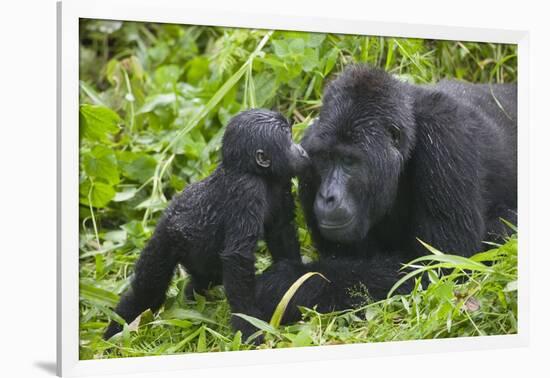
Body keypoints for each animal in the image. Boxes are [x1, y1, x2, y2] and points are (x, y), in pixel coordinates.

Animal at [104, 108, 310, 340]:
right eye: (289, 139)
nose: (301, 150)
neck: (252, 171)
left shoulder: (280, 181)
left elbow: (281, 232)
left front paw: (295, 280)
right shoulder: (247, 190)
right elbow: (238, 257)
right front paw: (249, 325)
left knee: (205, 278)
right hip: (164, 239)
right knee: (147, 291)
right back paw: (115, 332)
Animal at [256, 65, 520, 322]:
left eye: (349, 161)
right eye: (325, 159)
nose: (327, 197)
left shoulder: (447, 136)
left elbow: (440, 266)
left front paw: (283, 284)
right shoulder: (308, 153)